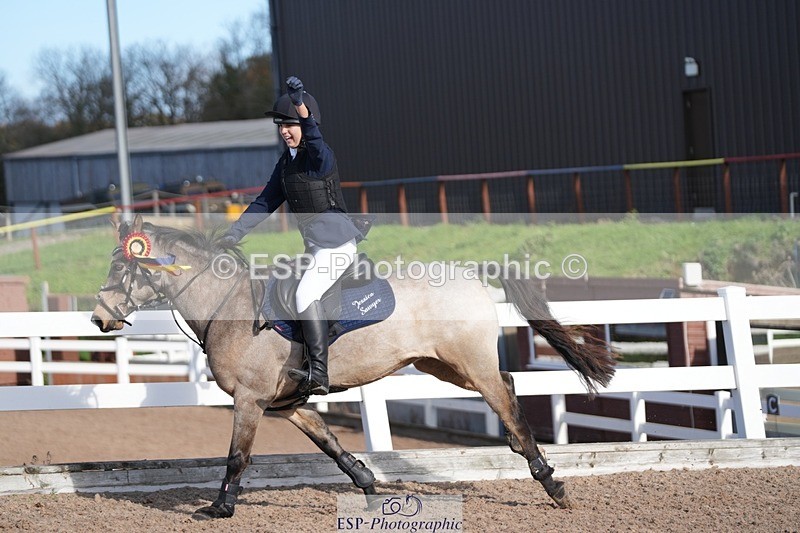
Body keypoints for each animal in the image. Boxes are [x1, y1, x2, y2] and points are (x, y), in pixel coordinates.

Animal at [90, 214, 616, 519]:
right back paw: (521, 452)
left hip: (468, 363)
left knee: (505, 399)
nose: (98, 318)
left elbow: (237, 455)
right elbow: (330, 444)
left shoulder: (250, 400)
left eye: (121, 268)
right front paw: (368, 485)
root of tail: (471, 274)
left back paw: (551, 482)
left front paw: (220, 507)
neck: (229, 306)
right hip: (445, 366)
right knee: (506, 385)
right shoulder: (285, 404)